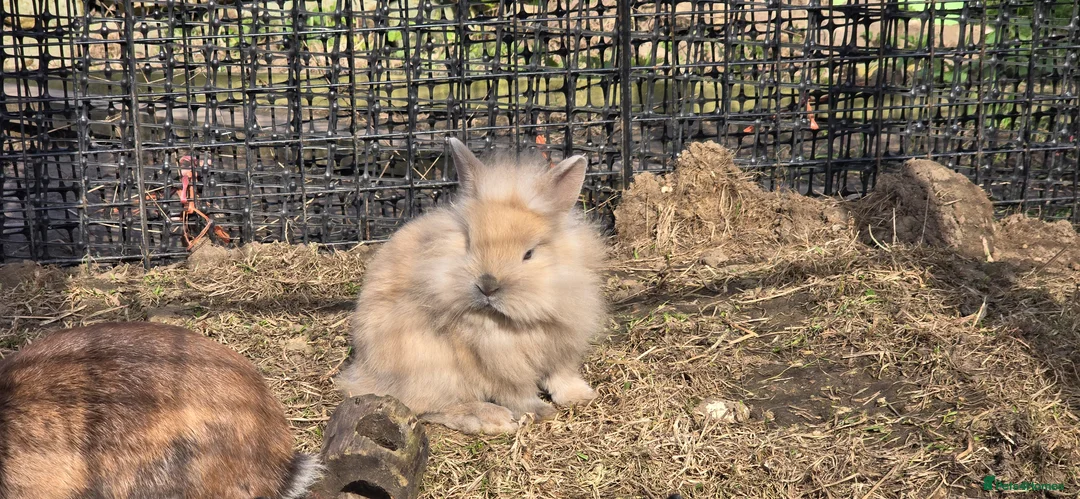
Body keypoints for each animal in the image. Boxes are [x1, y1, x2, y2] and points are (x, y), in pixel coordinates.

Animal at [336, 137, 609, 434]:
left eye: (529, 254)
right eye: (469, 243)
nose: (487, 285)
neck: (512, 322)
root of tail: (362, 373)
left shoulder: (561, 344)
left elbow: (561, 374)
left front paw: (581, 396)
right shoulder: (499, 366)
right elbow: (517, 392)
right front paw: (539, 411)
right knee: (424, 405)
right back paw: (490, 418)